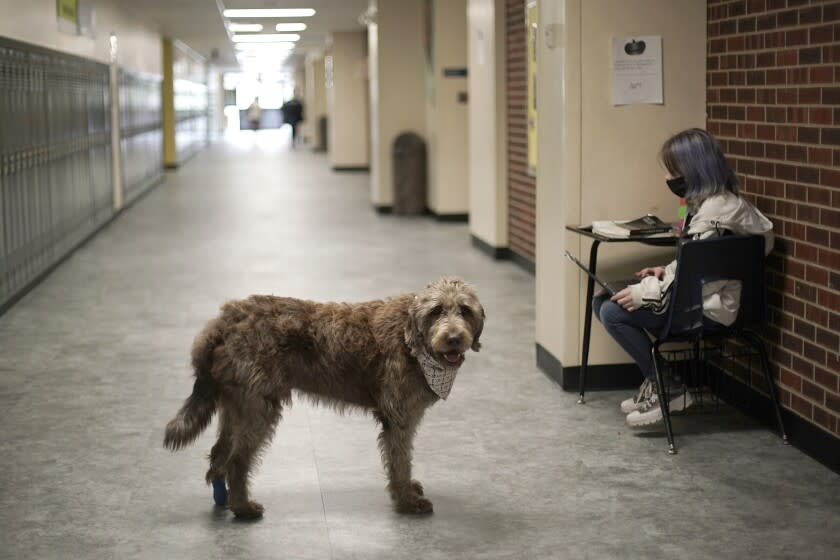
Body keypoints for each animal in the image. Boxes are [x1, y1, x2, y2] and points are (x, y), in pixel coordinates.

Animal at [162, 278, 486, 520]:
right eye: (437, 311)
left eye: (465, 311)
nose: (454, 338)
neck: (412, 340)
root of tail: (226, 319)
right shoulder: (399, 418)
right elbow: (400, 460)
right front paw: (406, 500)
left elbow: (404, 458)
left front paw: (409, 491)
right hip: (258, 409)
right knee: (238, 461)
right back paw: (243, 507)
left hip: (237, 404)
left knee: (220, 453)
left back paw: (224, 498)